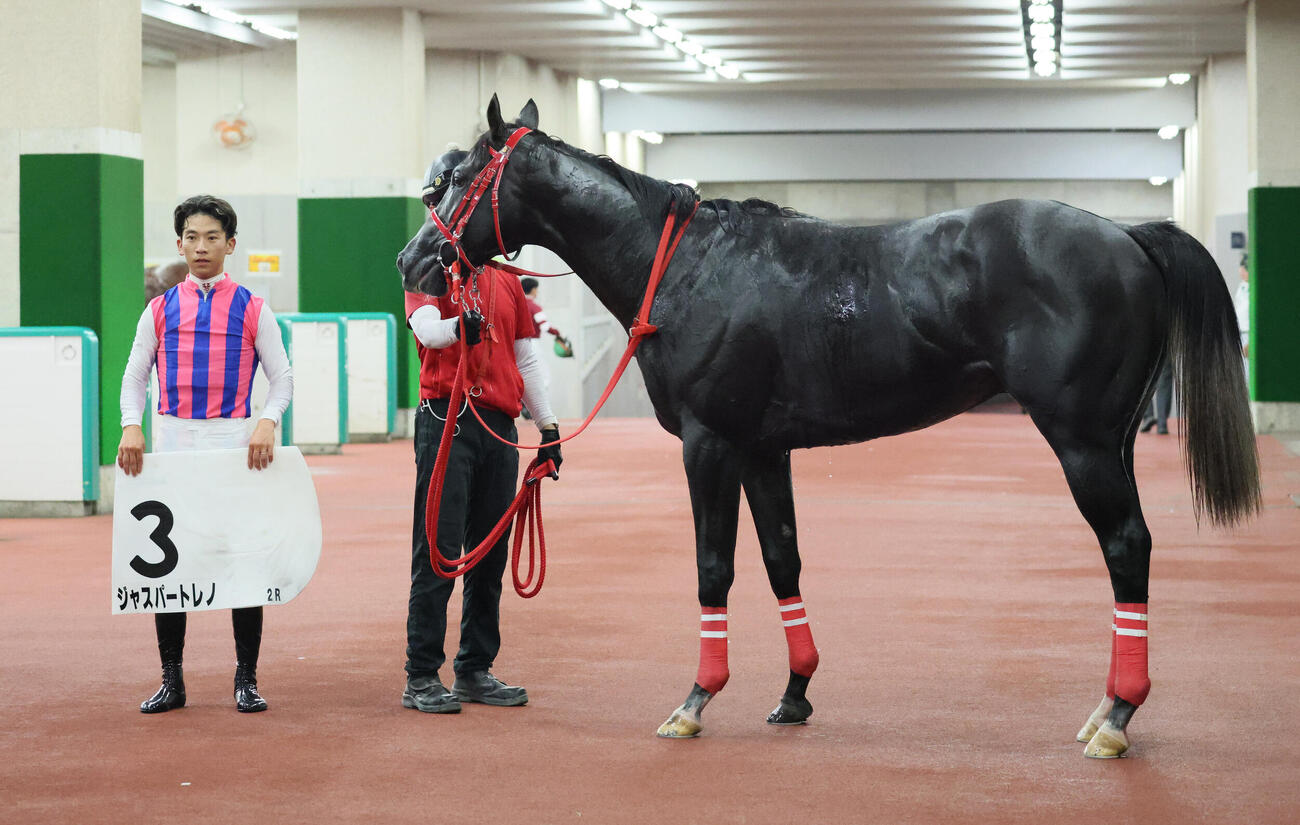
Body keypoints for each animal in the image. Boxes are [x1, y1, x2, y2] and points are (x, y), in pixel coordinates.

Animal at [396, 96, 1260, 759]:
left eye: (460, 178)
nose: (416, 259)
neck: (685, 265)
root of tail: (1128, 233)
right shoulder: (762, 451)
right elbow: (783, 561)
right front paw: (795, 692)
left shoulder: (710, 445)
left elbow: (714, 568)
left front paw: (695, 699)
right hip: (1114, 438)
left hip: (1082, 442)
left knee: (1127, 546)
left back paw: (1116, 716)